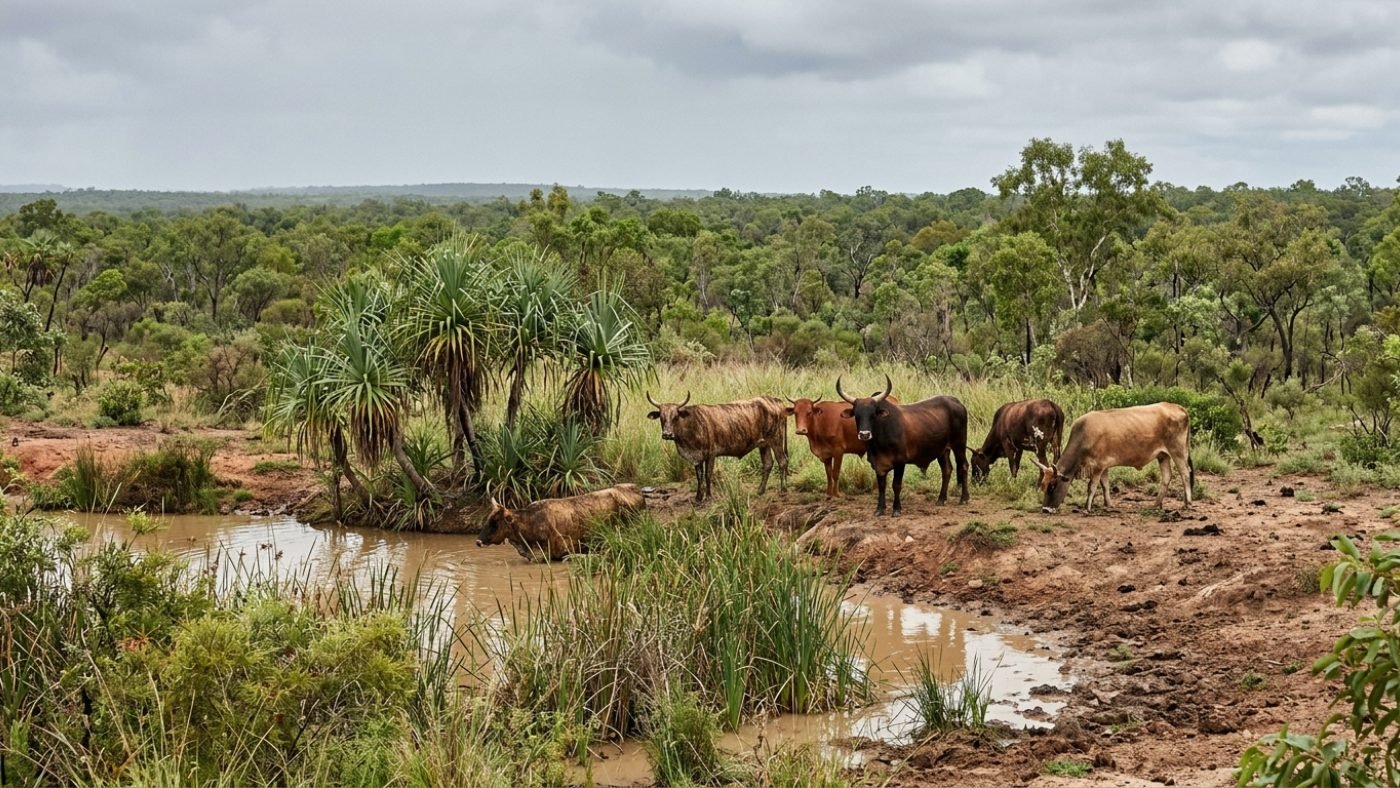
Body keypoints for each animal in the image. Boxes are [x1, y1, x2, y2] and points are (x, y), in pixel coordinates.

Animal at [646, 392, 789, 503]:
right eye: (661, 417)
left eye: (675, 416)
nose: (667, 434)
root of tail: (776, 401)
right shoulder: (697, 457)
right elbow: (699, 477)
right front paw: (698, 498)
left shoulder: (711, 454)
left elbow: (708, 475)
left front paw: (708, 497)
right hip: (764, 444)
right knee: (768, 464)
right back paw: (760, 491)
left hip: (776, 439)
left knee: (782, 461)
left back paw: (783, 489)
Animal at [837, 375, 968, 516]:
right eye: (857, 415)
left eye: (873, 415)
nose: (864, 434)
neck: (879, 441)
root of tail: (956, 401)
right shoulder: (878, 464)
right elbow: (881, 486)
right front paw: (880, 509)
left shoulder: (900, 462)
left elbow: (896, 485)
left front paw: (896, 509)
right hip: (942, 450)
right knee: (947, 470)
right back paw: (941, 499)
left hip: (959, 445)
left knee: (964, 466)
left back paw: (964, 498)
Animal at [1033, 402, 1194, 513]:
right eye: (1043, 485)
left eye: (1053, 486)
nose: (1045, 509)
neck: (1084, 436)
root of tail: (1178, 407)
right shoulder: (1104, 466)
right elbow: (1105, 486)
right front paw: (1108, 504)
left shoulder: (1097, 467)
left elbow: (1092, 487)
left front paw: (1087, 507)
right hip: (1163, 455)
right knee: (1167, 477)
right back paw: (1156, 504)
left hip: (1178, 451)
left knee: (1185, 473)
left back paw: (1188, 503)